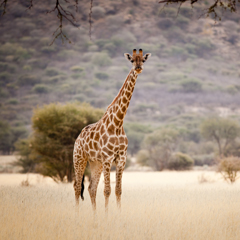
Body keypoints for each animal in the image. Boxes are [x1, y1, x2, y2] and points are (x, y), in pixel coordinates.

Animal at [74, 48, 151, 210]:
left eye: (143, 60)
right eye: (132, 60)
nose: (138, 68)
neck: (117, 123)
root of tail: (78, 137)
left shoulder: (121, 159)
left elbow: (118, 190)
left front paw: (118, 214)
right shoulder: (108, 158)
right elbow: (107, 190)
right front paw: (107, 215)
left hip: (95, 163)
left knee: (91, 188)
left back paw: (94, 216)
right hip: (79, 158)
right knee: (77, 187)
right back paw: (77, 215)